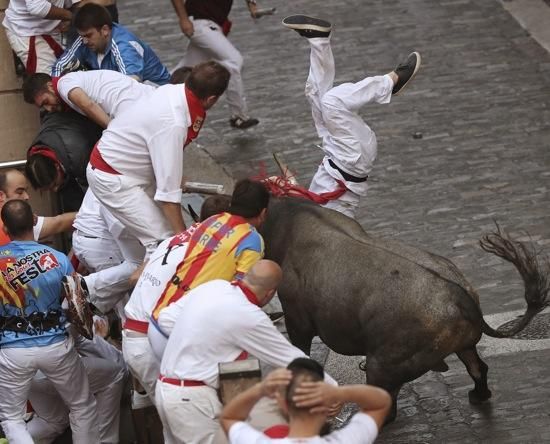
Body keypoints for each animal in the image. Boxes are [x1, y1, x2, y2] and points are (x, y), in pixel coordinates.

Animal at [260, 197, 550, 420]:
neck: (285, 222)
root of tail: (461, 298)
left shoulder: (297, 319)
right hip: (463, 346)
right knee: (478, 368)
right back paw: (478, 396)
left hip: (383, 365)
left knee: (386, 401)